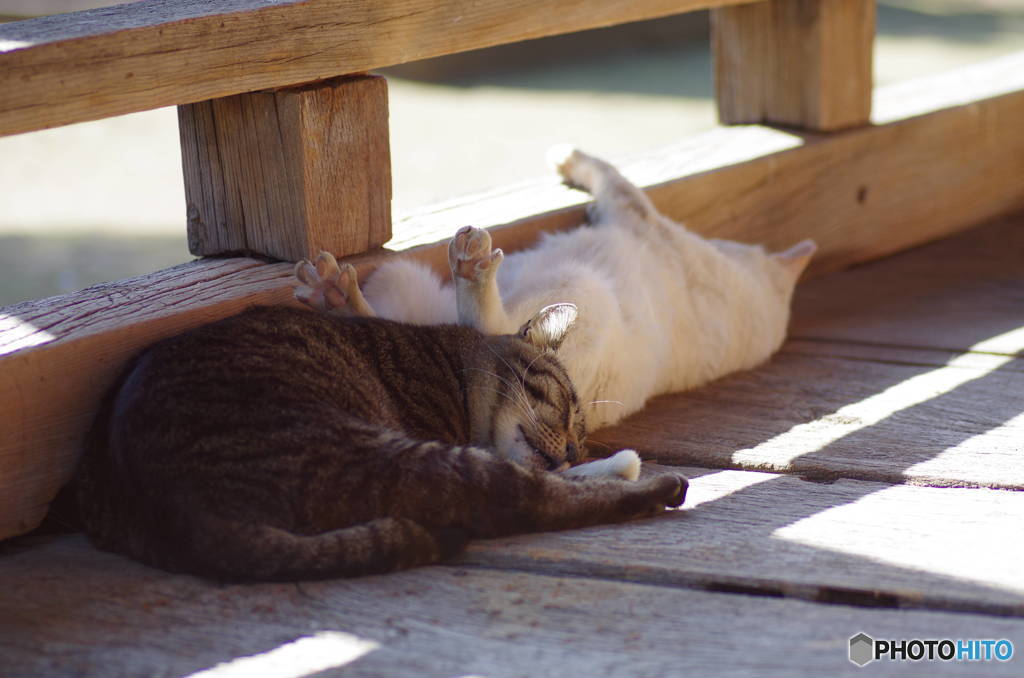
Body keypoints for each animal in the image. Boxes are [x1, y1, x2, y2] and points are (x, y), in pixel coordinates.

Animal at [77, 305, 688, 581]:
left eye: (580, 442)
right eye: (565, 410)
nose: (569, 453)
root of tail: (182, 516)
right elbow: (543, 485)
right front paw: (614, 467)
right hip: (395, 458)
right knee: (526, 501)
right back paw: (664, 485)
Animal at [294, 148, 815, 477]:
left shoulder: (635, 211)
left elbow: (610, 174)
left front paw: (568, 159)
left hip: (572, 289)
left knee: (488, 328)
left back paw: (463, 269)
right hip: (399, 274)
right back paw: (336, 293)